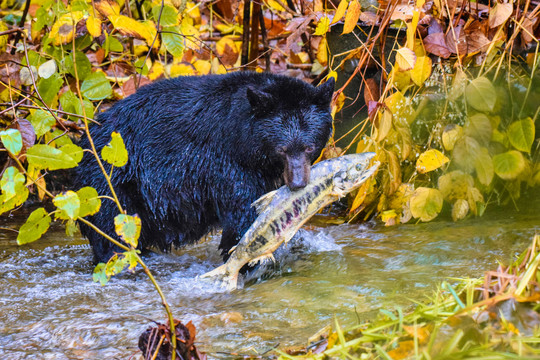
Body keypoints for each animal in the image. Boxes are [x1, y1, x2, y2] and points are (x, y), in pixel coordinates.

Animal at [75, 71, 338, 262]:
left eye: (309, 147)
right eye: (282, 149)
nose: (297, 182)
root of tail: (83, 141)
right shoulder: (228, 165)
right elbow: (243, 215)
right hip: (109, 185)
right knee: (113, 233)